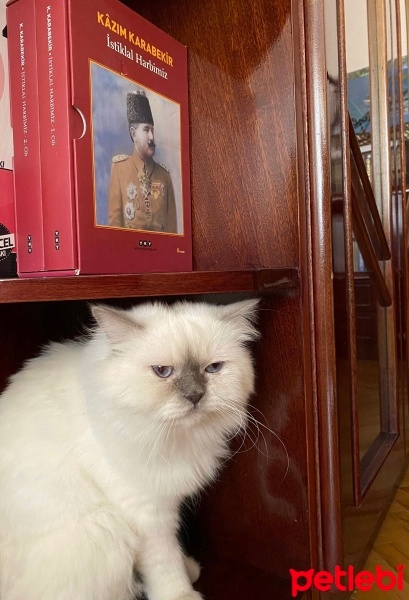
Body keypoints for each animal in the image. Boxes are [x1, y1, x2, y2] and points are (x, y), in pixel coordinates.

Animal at [0, 298, 258, 600]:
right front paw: (183, 593)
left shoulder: (166, 501)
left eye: (213, 368)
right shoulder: (147, 513)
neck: (174, 438)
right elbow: (165, 563)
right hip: (105, 531)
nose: (195, 396)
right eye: (162, 371)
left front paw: (190, 569)